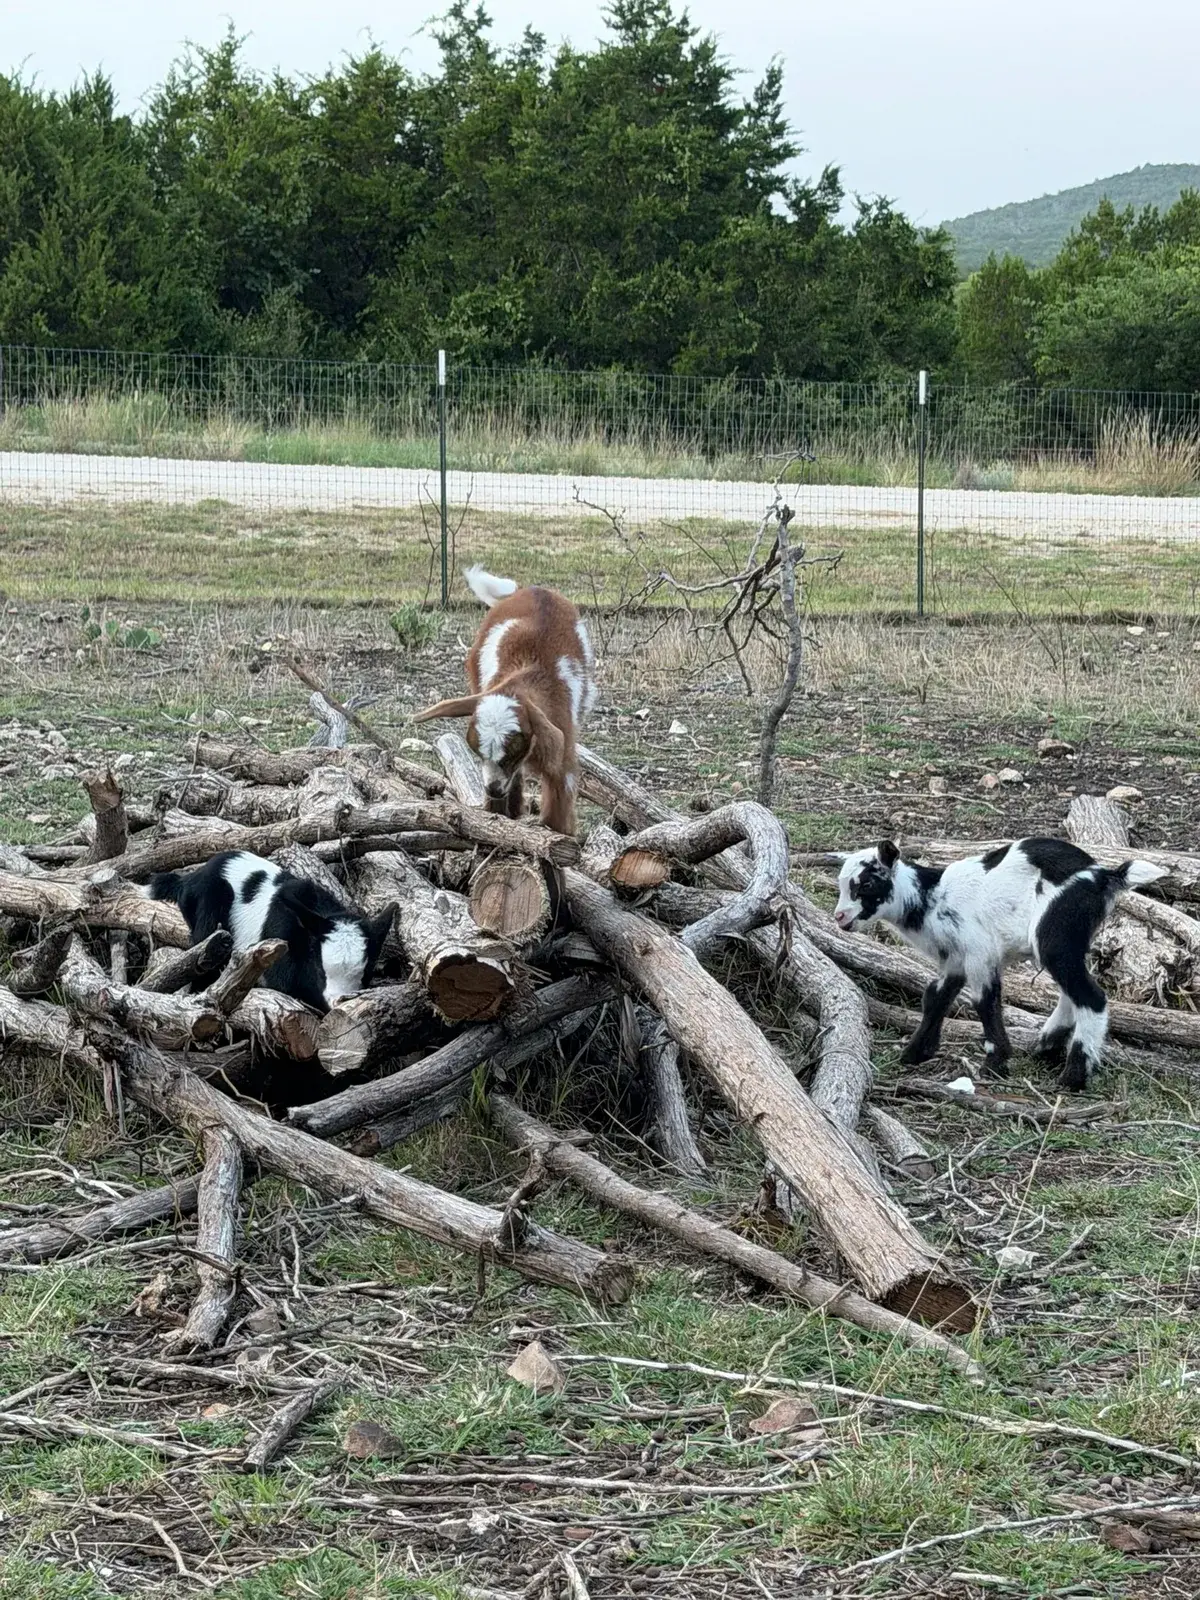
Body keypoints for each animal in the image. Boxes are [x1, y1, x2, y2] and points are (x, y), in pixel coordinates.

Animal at [413, 566, 595, 836]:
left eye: (511, 755)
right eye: (478, 754)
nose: (493, 789)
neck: (527, 678)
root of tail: (530, 589)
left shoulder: (562, 755)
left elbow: (558, 810)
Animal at [834, 837, 1165, 1089]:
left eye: (865, 884)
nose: (839, 917)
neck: (932, 898)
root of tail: (1103, 876)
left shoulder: (979, 952)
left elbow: (985, 1001)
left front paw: (995, 1062)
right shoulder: (956, 958)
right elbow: (935, 997)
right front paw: (915, 1053)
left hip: (1056, 931)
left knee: (1090, 996)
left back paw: (1073, 1078)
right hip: (1066, 941)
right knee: (1071, 991)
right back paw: (1047, 1045)